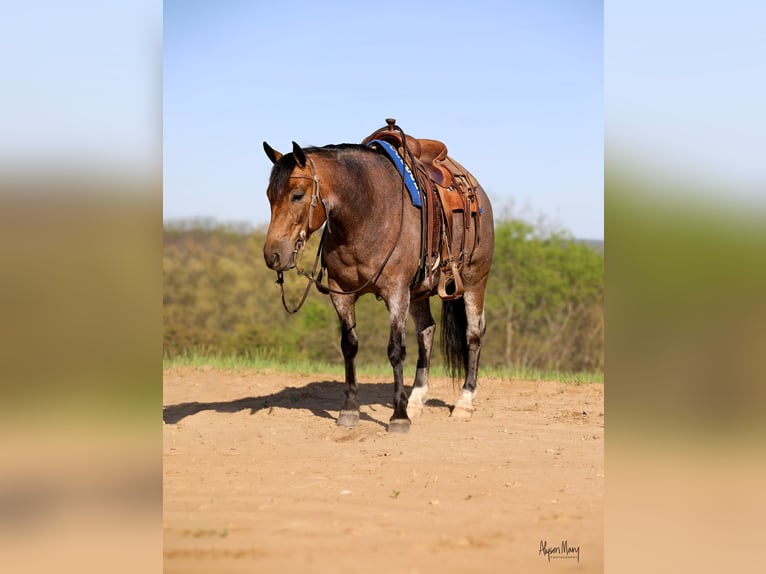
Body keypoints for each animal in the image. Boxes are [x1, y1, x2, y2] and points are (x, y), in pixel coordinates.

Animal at [262, 132, 494, 433]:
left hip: (474, 281)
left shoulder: (396, 292)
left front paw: (399, 416)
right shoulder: (342, 293)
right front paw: (350, 410)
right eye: (269, 196)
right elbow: (349, 347)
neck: (367, 213)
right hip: (418, 292)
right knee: (427, 332)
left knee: (473, 334)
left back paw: (464, 402)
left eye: (297, 195)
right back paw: (417, 399)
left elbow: (395, 350)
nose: (272, 255)